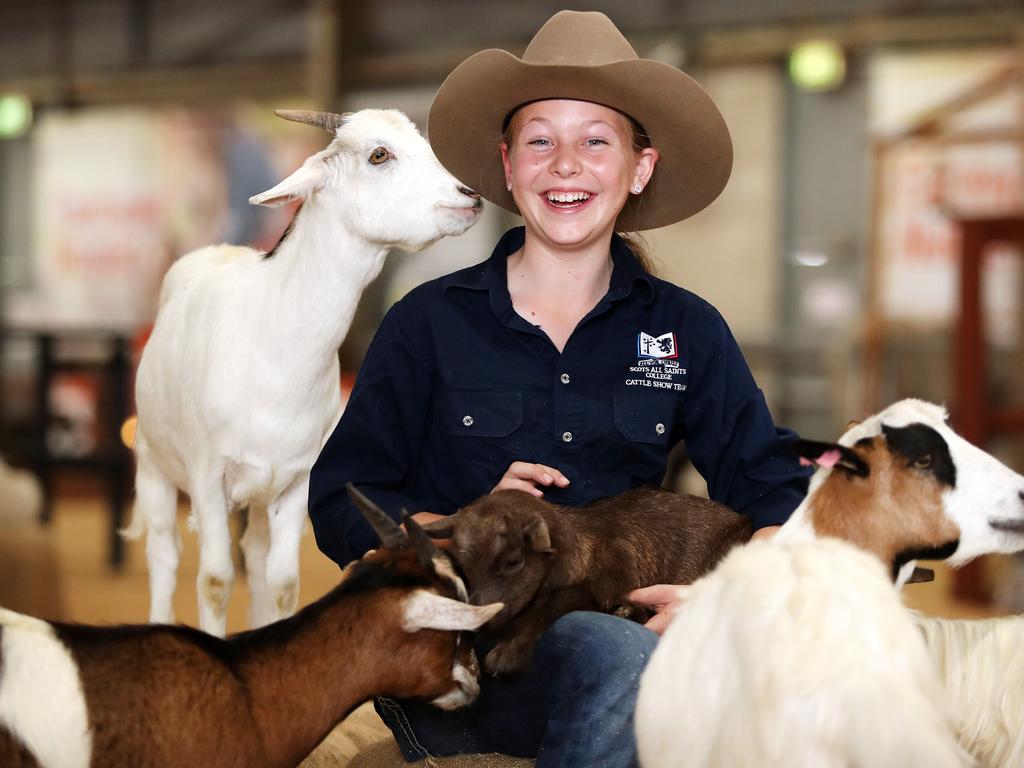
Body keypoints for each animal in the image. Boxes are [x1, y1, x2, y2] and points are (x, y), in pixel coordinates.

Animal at [125, 109, 481, 638]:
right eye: (378, 154)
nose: (469, 196)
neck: (271, 341)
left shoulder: (298, 481)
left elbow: (282, 583)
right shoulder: (208, 475)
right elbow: (214, 580)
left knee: (253, 555)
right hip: (152, 461)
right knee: (164, 555)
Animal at [419, 489, 749, 675]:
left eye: (513, 562)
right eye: (462, 565)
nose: (479, 622)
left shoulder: (608, 580)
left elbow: (561, 602)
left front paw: (507, 655)